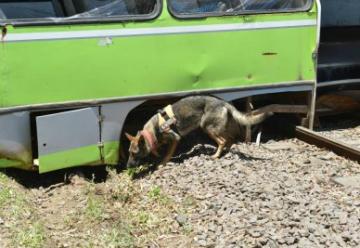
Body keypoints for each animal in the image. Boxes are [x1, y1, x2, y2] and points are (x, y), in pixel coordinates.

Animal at [125, 96, 272, 168]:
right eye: (129, 153)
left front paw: (162, 162)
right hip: (218, 127)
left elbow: (167, 154)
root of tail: (224, 103)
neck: (153, 130)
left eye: (134, 153)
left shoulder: (175, 138)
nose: (127, 166)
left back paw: (216, 155)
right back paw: (225, 151)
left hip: (207, 127)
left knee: (223, 141)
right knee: (230, 139)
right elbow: (158, 148)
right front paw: (156, 154)